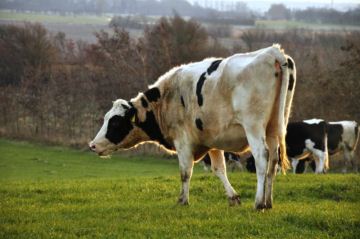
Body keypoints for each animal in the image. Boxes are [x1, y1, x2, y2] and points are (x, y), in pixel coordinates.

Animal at [88, 44, 296, 209]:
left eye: (115, 122)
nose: (92, 145)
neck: (166, 98)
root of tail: (271, 52)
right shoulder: (212, 140)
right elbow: (219, 169)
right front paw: (233, 198)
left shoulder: (183, 141)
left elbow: (185, 172)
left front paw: (183, 200)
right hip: (274, 127)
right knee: (273, 161)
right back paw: (268, 202)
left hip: (254, 126)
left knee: (262, 158)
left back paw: (259, 202)